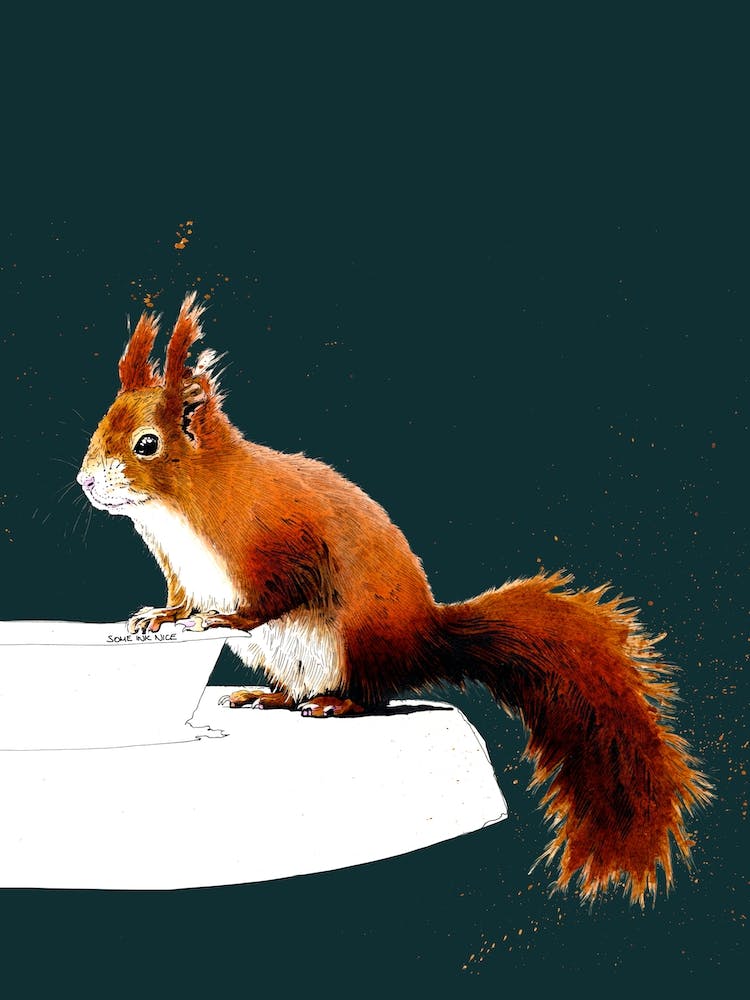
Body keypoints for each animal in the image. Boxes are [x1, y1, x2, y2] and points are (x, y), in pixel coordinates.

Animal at [77, 292, 712, 904]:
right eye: (101, 428)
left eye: (147, 444)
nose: (85, 481)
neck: (179, 511)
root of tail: (425, 640)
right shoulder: (181, 570)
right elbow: (179, 601)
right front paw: (154, 618)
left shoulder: (279, 544)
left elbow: (272, 597)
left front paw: (218, 621)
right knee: (305, 689)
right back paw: (268, 697)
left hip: (357, 641)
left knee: (372, 696)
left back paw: (333, 705)